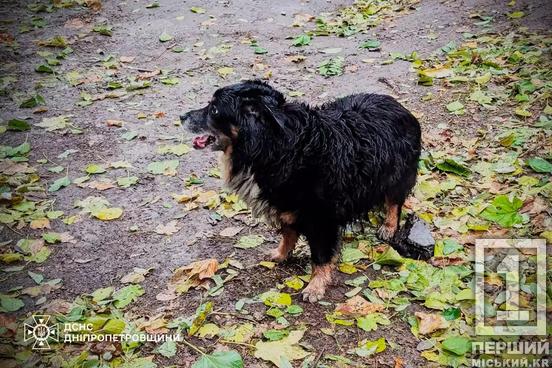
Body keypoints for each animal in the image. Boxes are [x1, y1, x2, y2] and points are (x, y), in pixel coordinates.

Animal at [181, 80, 422, 302]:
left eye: (214, 110)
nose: (181, 116)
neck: (276, 147)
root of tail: (396, 104)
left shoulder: (322, 218)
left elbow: (321, 256)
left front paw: (315, 286)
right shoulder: (286, 204)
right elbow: (288, 233)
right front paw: (280, 254)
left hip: (397, 174)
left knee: (394, 202)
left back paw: (389, 226)